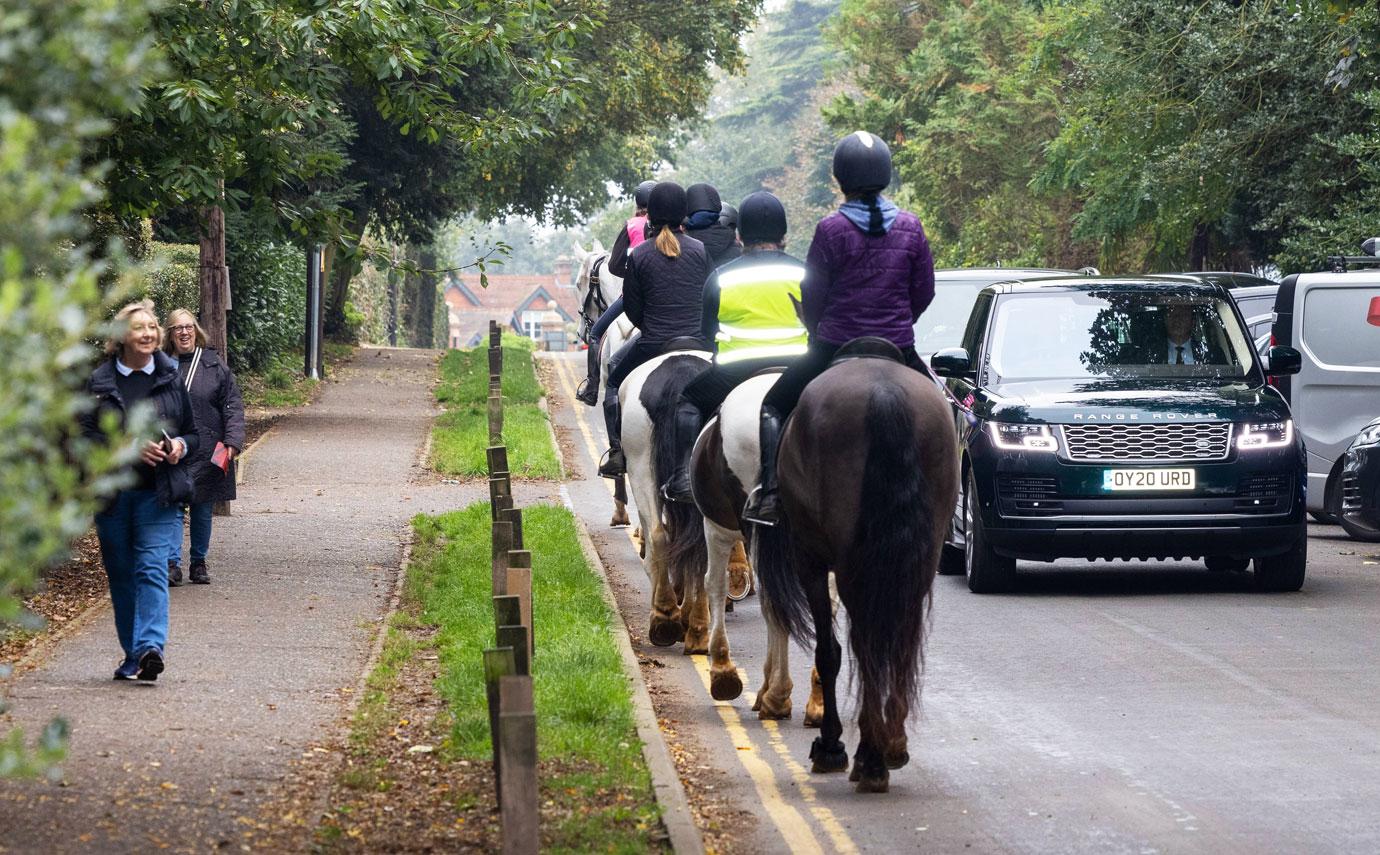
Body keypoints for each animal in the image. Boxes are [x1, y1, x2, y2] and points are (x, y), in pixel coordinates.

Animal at [687, 369, 822, 722]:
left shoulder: (715, 528)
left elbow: (714, 584)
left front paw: (723, 671)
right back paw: (815, 700)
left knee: (772, 601)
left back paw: (777, 696)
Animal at [745, 342, 960, 794]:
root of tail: (883, 394)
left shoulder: (810, 560)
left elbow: (829, 652)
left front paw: (830, 745)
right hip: (918, 559)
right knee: (899, 640)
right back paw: (891, 746)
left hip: (846, 560)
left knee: (859, 644)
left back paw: (868, 757)